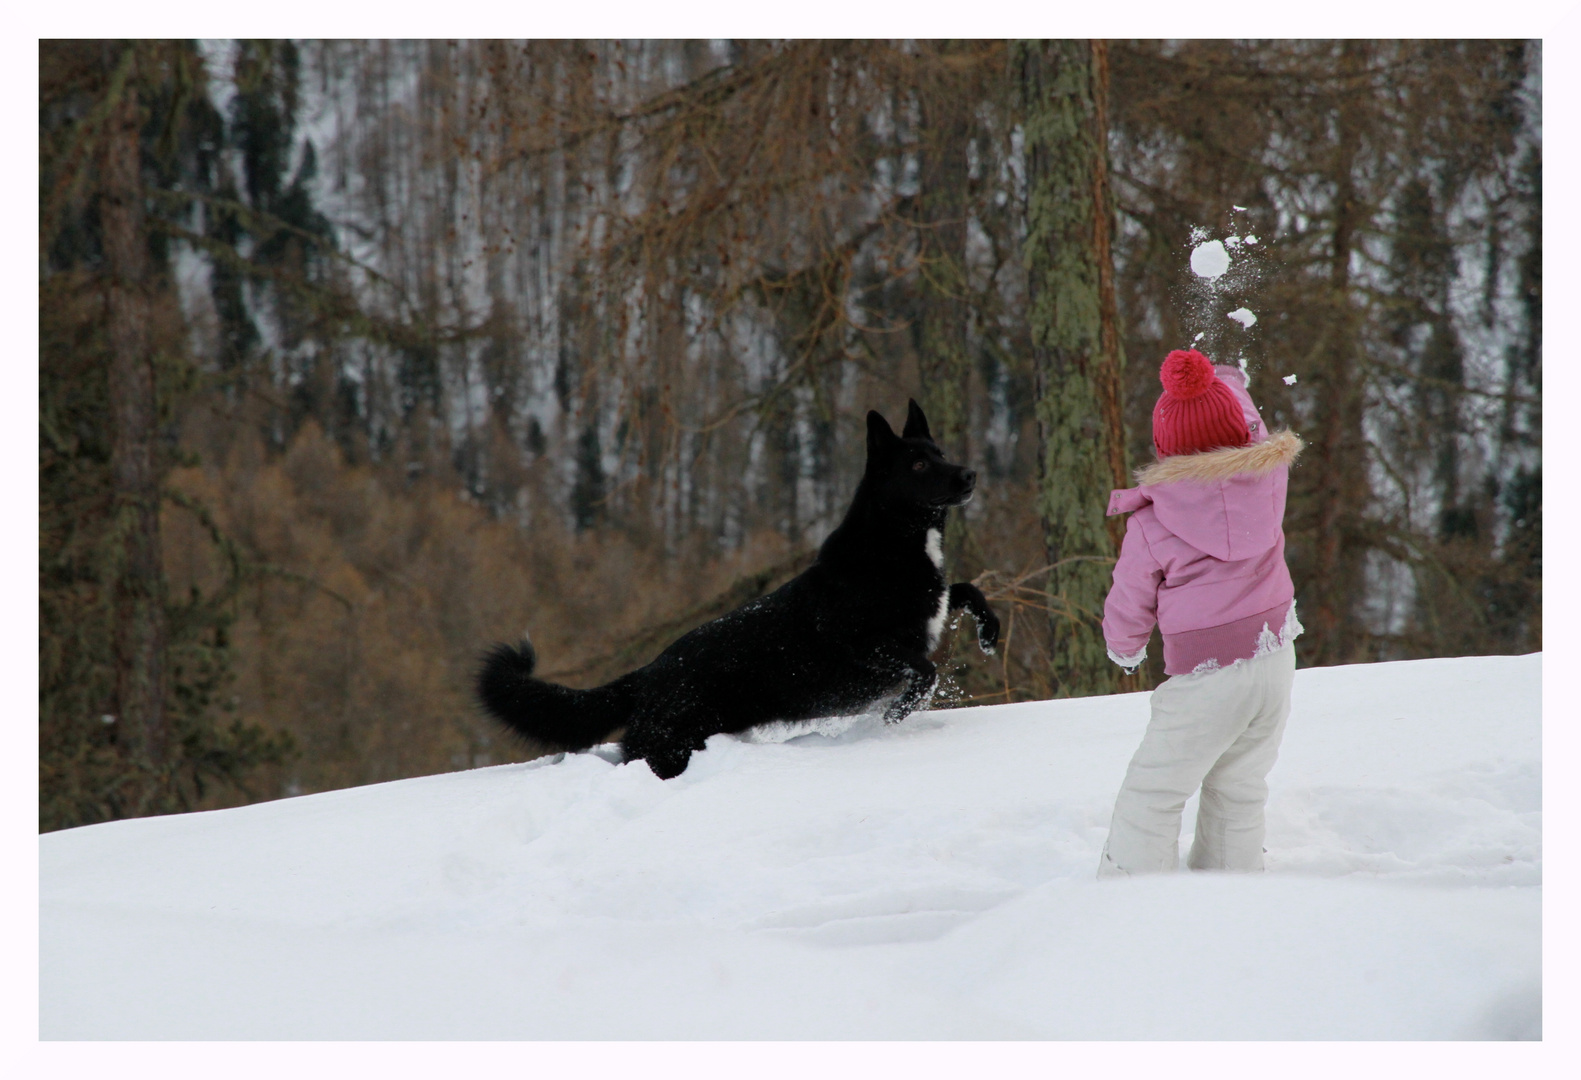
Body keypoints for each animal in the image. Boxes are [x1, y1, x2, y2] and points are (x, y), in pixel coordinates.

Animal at [477, 401, 999, 781]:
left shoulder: (934, 606)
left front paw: (990, 634)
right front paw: (897, 713)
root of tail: (646, 675)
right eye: (918, 463)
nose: (970, 474)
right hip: (669, 751)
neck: (891, 547)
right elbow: (925, 669)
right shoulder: (864, 645)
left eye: (941, 451)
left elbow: (966, 590)